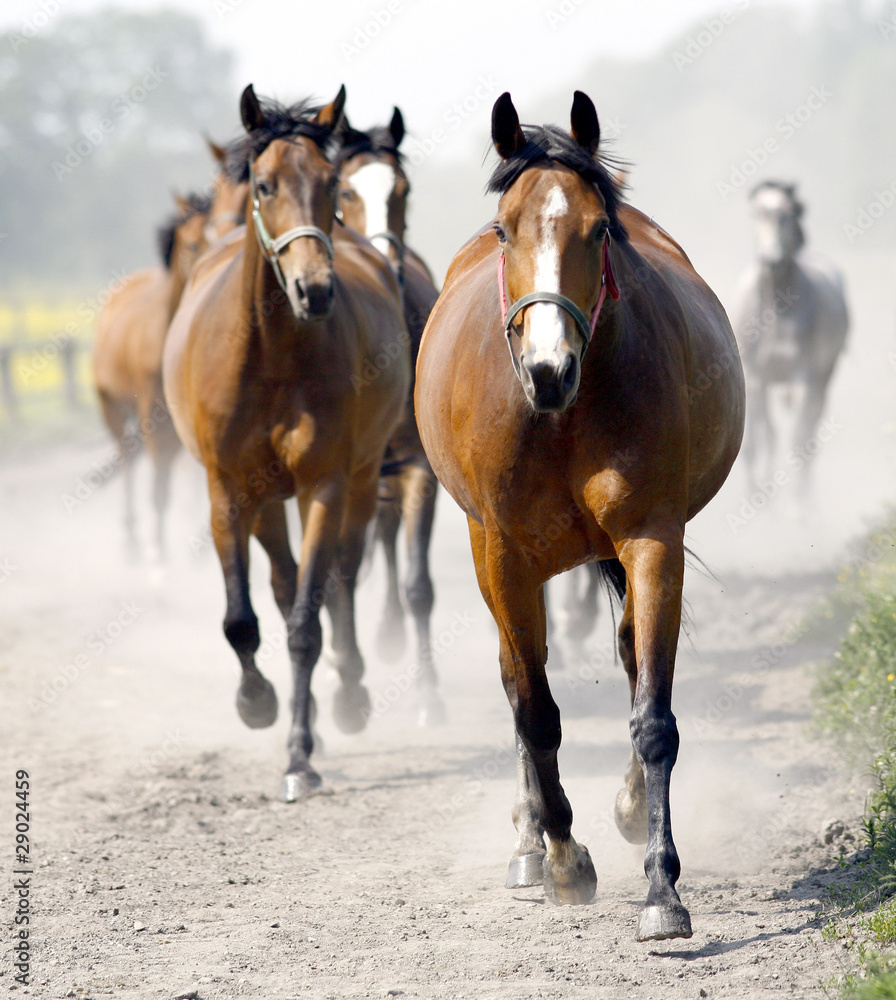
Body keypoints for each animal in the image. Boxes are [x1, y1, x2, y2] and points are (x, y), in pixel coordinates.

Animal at [92, 191, 210, 560]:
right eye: (192, 244)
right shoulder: (154, 418)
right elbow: (159, 488)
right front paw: (159, 557)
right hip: (112, 408)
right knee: (128, 459)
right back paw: (132, 539)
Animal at [163, 85, 409, 802]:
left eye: (330, 185)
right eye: (265, 184)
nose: (315, 289)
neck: (270, 356)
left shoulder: (325, 484)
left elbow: (307, 621)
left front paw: (300, 756)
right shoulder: (226, 492)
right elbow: (243, 617)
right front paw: (257, 703)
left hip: (359, 478)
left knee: (341, 576)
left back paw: (347, 695)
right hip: (266, 498)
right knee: (279, 579)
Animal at [414, 91, 745, 940]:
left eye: (597, 229)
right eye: (507, 229)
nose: (548, 368)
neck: (562, 416)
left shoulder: (652, 540)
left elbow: (652, 712)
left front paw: (662, 887)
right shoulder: (503, 557)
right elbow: (535, 710)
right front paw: (565, 858)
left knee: (628, 657)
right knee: (516, 680)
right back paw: (531, 845)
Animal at [732, 181, 848, 498]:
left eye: (788, 214)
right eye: (757, 213)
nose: (770, 259)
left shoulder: (802, 378)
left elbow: (797, 439)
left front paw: (796, 503)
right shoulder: (756, 378)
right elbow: (763, 438)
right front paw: (759, 494)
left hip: (823, 378)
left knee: (809, 434)